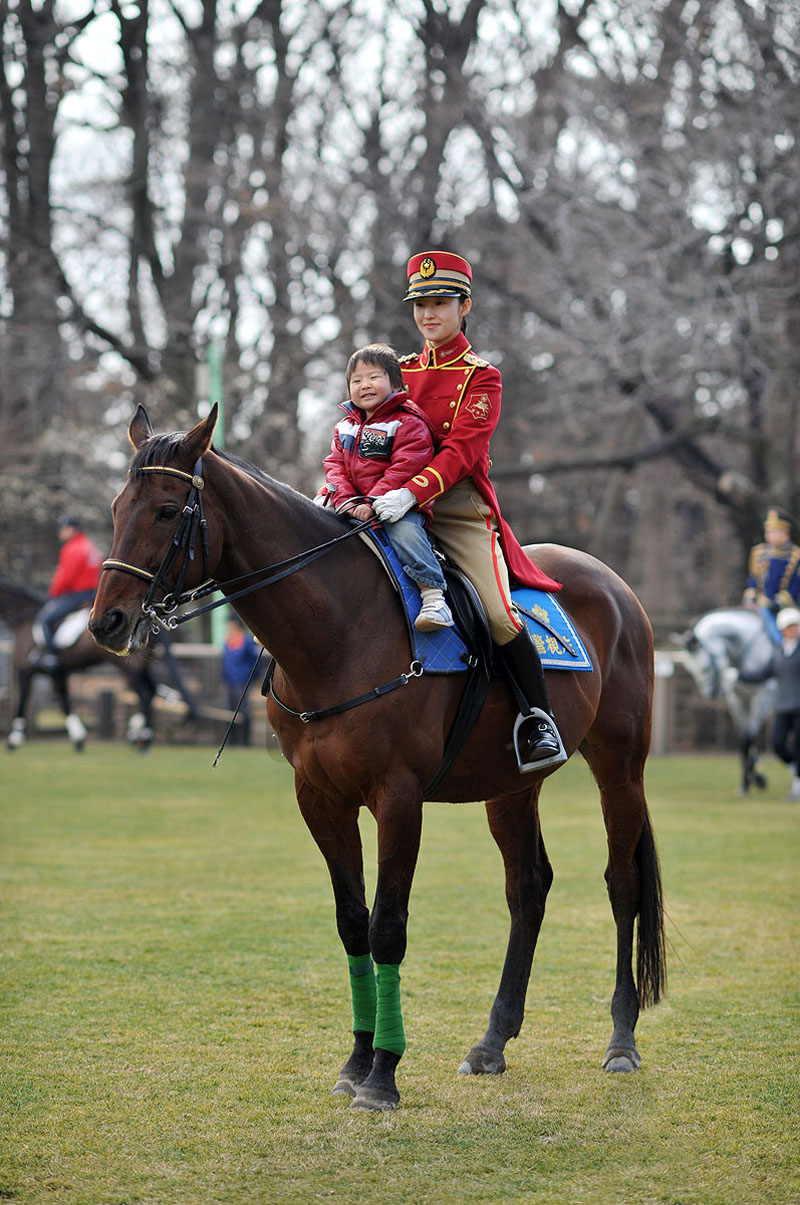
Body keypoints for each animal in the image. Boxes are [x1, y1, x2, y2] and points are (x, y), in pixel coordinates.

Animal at [2, 571, 196, 747]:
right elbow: (64, 700)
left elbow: (23, 700)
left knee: (145, 694)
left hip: (129, 669)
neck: (24, 618)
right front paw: (78, 737)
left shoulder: (25, 669)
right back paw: (138, 733)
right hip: (142, 666)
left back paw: (143, 738)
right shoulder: (58, 672)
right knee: (151, 691)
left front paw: (14, 739)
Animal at [87, 404, 665, 1108]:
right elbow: (352, 924)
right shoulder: (320, 799)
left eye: (168, 511)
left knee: (622, 885)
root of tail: (613, 585)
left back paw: (622, 1039)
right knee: (528, 891)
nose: (107, 623)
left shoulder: (399, 798)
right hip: (509, 788)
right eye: (118, 507)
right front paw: (358, 1060)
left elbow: (388, 925)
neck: (341, 629)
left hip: (620, 768)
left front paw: (384, 1073)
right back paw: (492, 1040)